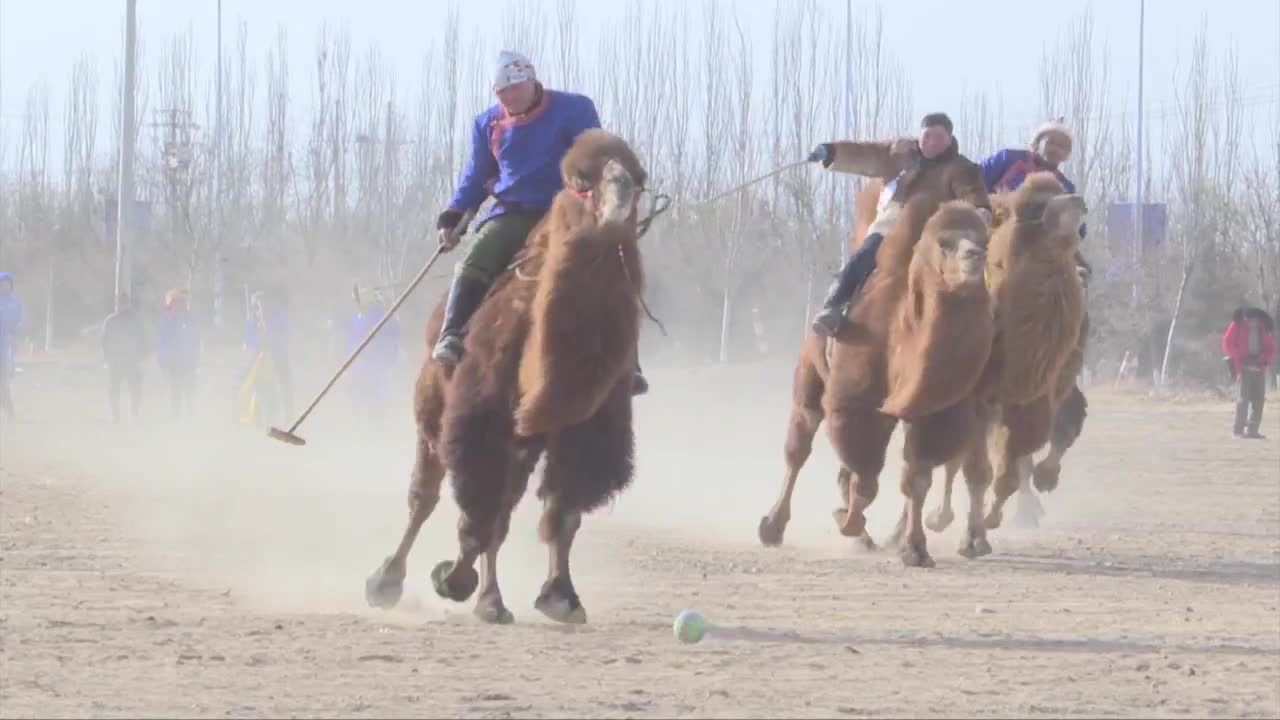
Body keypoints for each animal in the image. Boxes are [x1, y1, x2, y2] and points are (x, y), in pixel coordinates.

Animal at [366, 128, 650, 622]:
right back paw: (386, 581)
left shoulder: (584, 432)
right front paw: (456, 581)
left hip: (521, 443)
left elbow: (563, 512)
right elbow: (481, 514)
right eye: (580, 180)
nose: (621, 203)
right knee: (426, 496)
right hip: (432, 407)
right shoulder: (480, 423)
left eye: (640, 176)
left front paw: (560, 596)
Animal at [752, 180, 993, 566]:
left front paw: (915, 548)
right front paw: (847, 521)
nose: (975, 256)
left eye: (985, 239)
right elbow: (865, 480)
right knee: (799, 446)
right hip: (810, 377)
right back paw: (773, 527)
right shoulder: (854, 404)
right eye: (944, 242)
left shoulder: (933, 413)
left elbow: (916, 477)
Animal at [921, 169, 1090, 556]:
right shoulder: (975, 398)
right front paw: (970, 538)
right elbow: (976, 471)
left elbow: (1007, 475)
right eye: (1036, 206)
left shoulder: (1026, 402)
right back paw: (931, 520)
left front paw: (986, 526)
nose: (1078, 200)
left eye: (1061, 189)